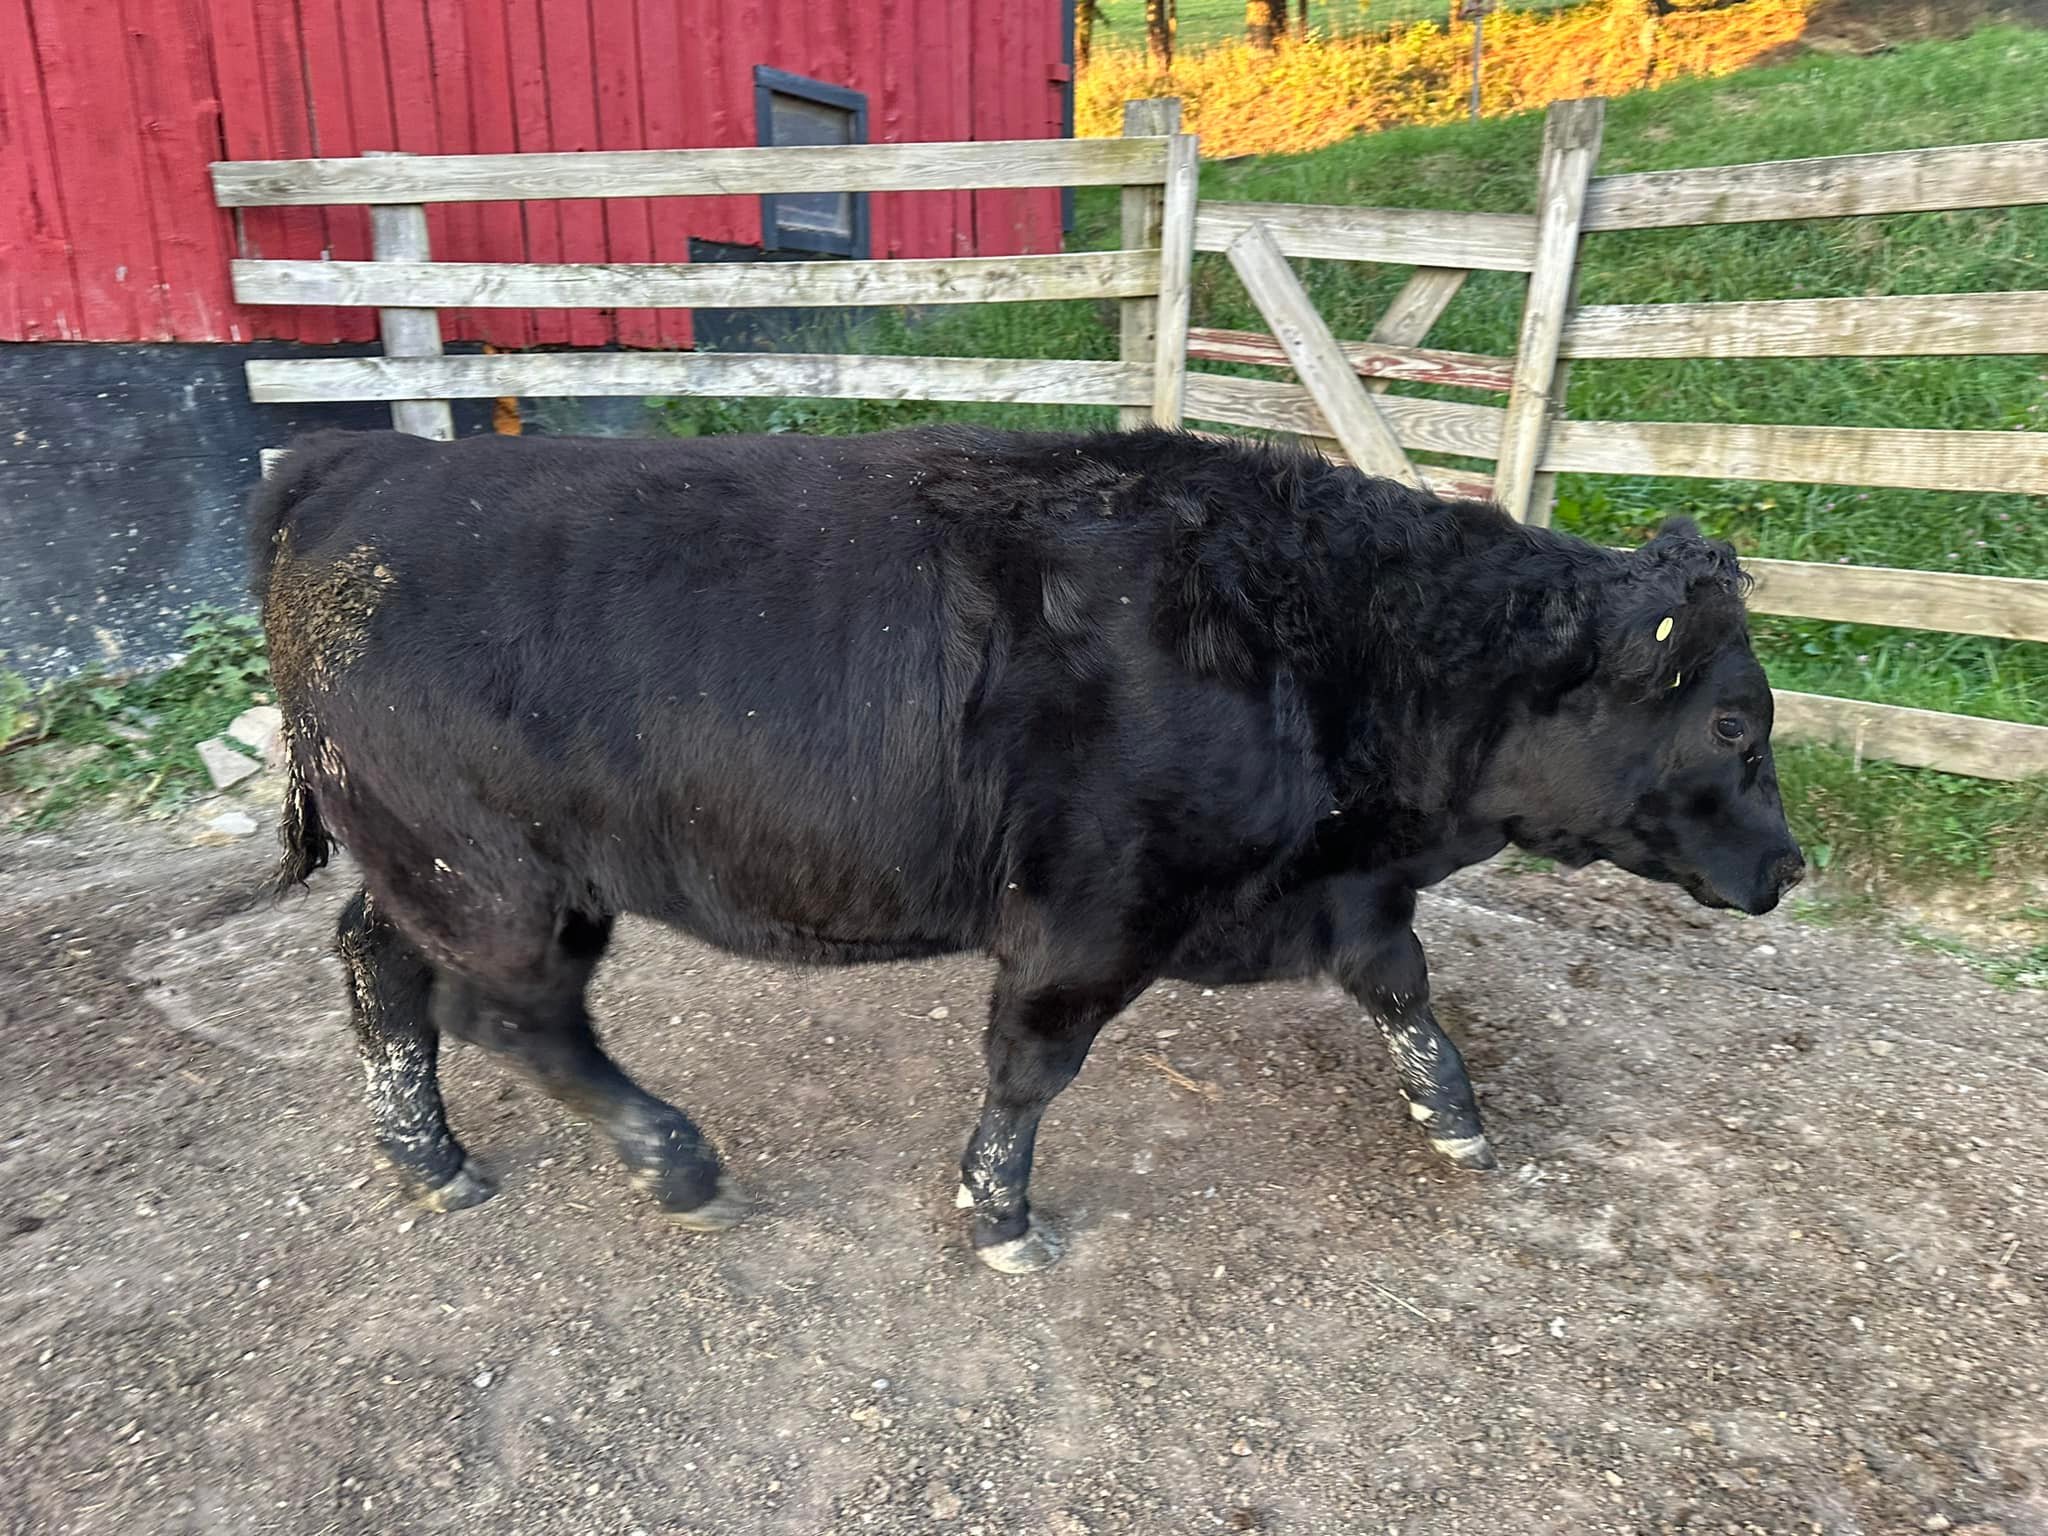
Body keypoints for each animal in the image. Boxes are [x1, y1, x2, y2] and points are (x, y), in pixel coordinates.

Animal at [251, 424, 1802, 1275]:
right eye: (1733, 720)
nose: (1789, 869)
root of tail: (362, 461)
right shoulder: (1091, 913)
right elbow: (1031, 1062)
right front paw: (998, 1211)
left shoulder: (1340, 892)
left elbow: (1406, 991)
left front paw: (1457, 1118)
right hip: (500, 879)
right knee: (518, 1017)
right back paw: (673, 1160)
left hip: (428, 870)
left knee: (381, 970)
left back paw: (427, 1152)